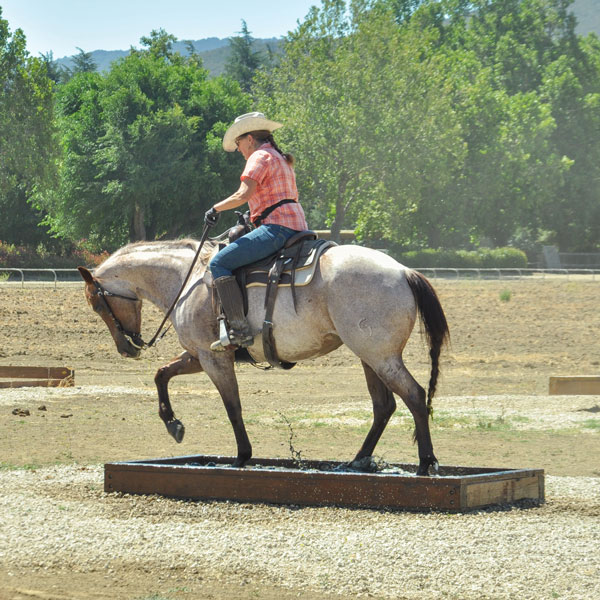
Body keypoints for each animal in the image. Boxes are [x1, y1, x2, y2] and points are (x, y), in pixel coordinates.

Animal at [77, 233, 448, 474]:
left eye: (96, 303)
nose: (127, 348)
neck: (189, 279)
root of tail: (403, 271)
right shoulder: (198, 355)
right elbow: (161, 374)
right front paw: (173, 424)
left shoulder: (214, 358)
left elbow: (233, 408)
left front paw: (242, 456)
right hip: (369, 357)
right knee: (383, 406)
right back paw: (358, 460)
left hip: (381, 357)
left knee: (415, 396)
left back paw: (426, 463)